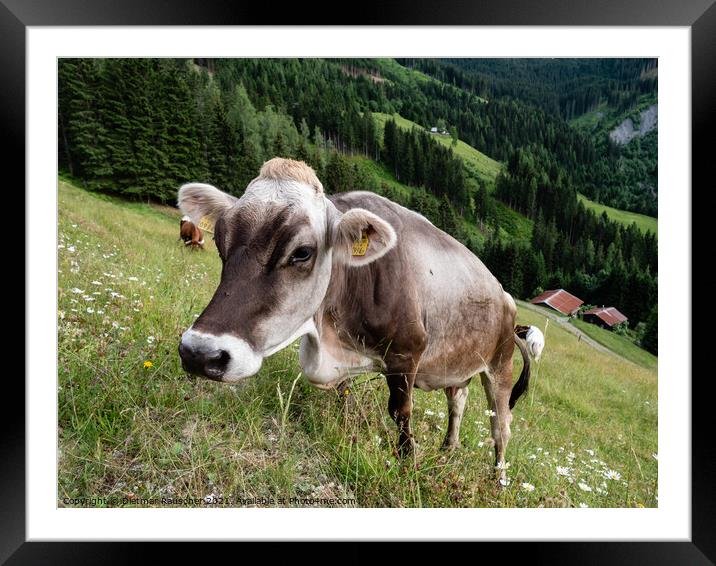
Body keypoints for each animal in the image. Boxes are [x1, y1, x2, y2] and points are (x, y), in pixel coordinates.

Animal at [176, 159, 528, 484]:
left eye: (302, 252)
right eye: (221, 240)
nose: (200, 354)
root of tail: (504, 295)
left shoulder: (406, 353)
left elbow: (401, 412)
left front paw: (407, 464)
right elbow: (344, 395)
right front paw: (346, 430)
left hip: (500, 366)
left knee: (502, 426)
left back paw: (499, 479)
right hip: (458, 363)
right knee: (458, 402)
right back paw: (448, 449)